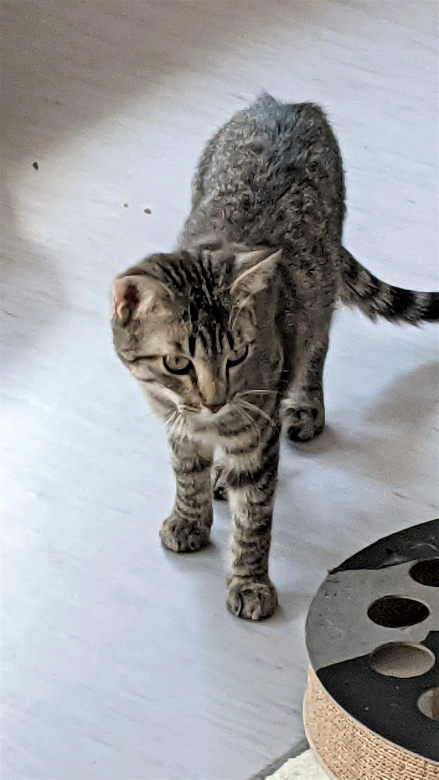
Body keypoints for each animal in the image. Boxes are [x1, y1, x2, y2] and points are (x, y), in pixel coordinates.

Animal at [111, 94, 438, 620]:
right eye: (178, 364)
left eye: (239, 354)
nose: (215, 401)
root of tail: (287, 103)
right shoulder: (178, 423)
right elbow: (186, 474)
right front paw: (190, 517)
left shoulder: (257, 425)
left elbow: (254, 516)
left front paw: (249, 582)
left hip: (318, 286)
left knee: (316, 345)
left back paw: (303, 408)